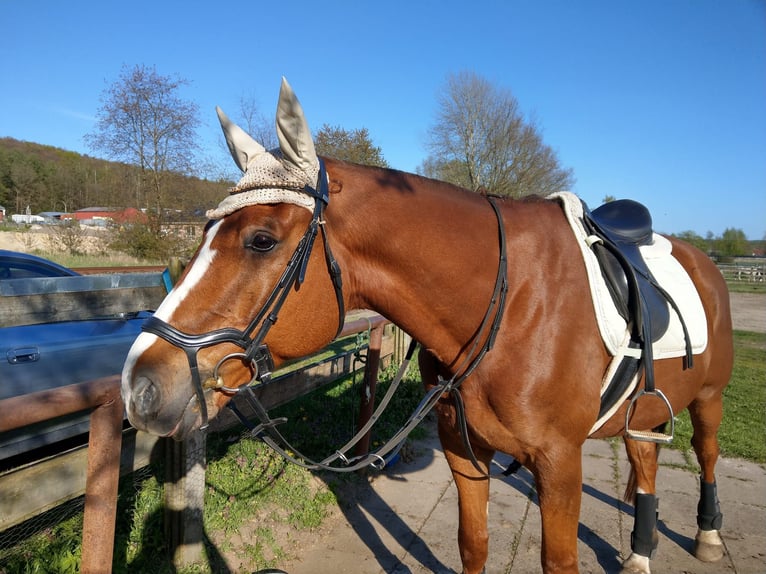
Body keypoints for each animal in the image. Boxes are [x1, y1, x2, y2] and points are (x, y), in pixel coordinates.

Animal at [123, 79, 736, 572]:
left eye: (261, 240)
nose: (139, 386)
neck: (511, 308)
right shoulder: (464, 450)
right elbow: (474, 545)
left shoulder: (560, 463)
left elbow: (559, 560)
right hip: (646, 409)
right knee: (645, 457)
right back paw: (639, 551)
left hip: (708, 397)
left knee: (705, 454)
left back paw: (706, 535)